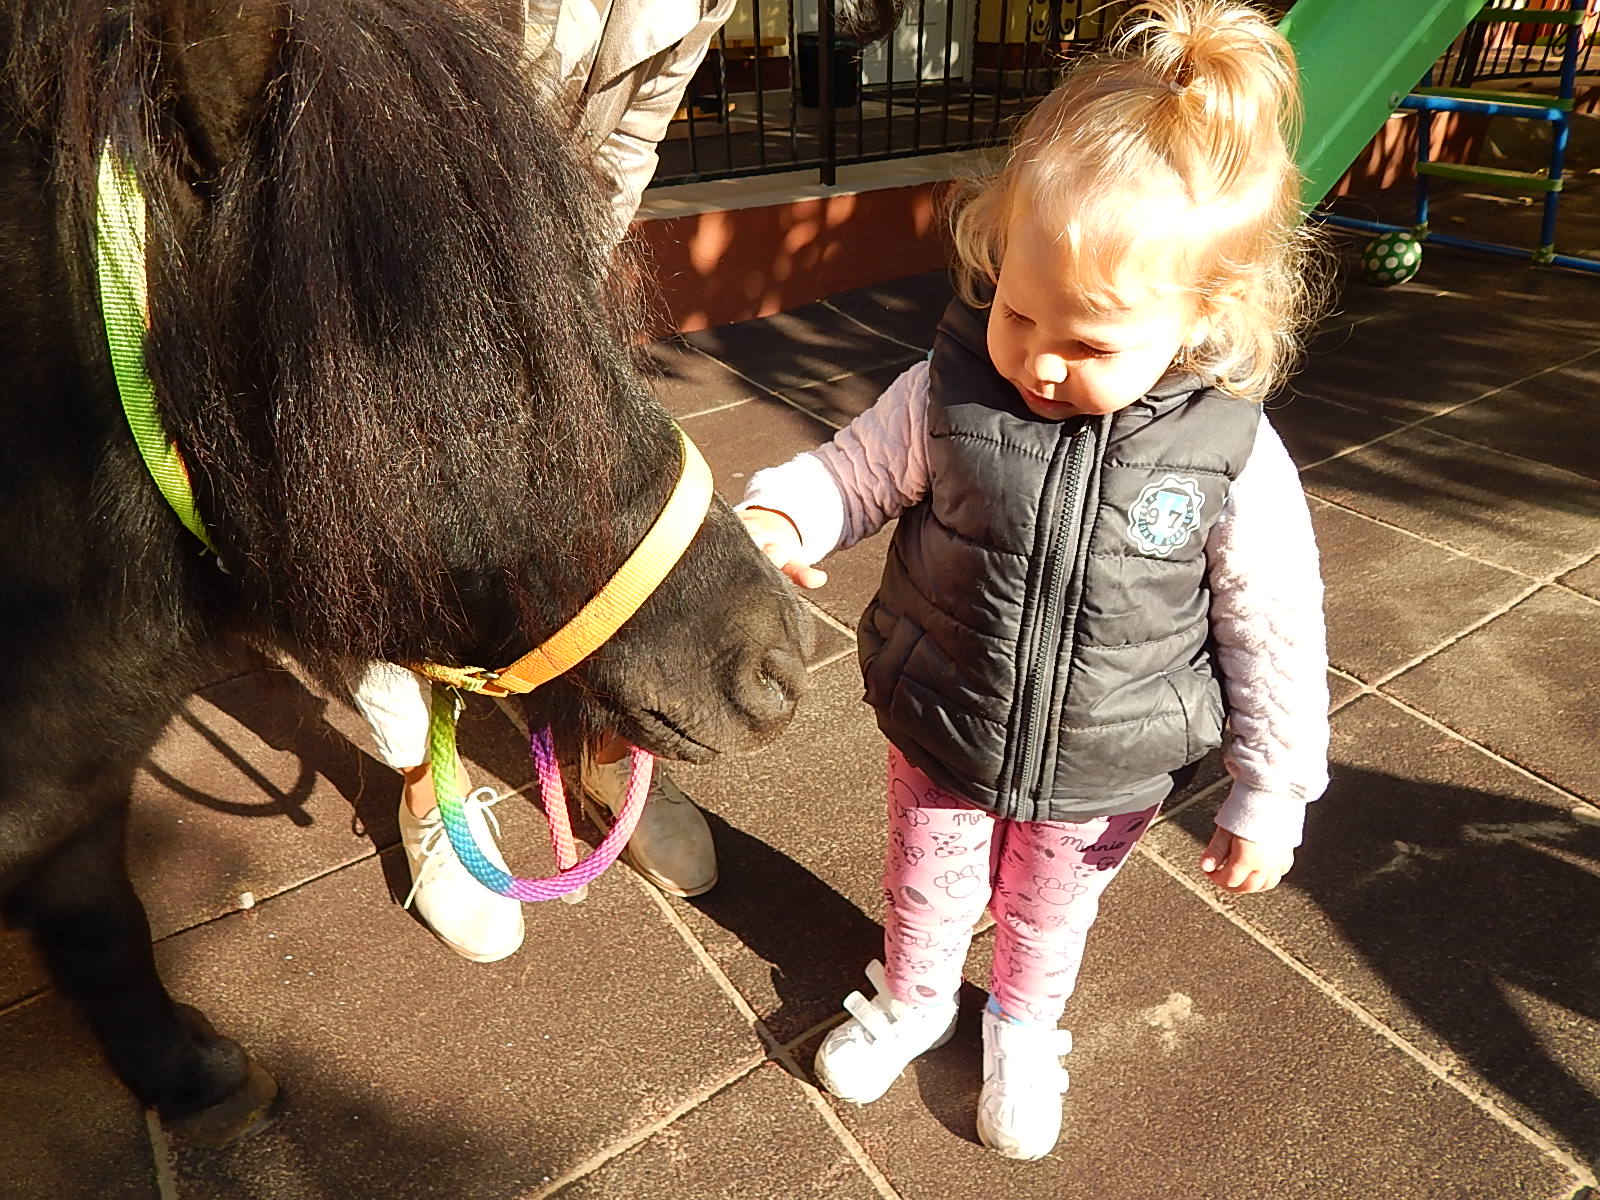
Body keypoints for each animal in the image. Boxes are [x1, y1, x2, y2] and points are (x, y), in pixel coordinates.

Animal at [0, 0, 870, 1144]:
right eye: (435, 377)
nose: (778, 663)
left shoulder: (78, 790)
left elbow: (103, 929)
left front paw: (190, 1077)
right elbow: (105, 929)